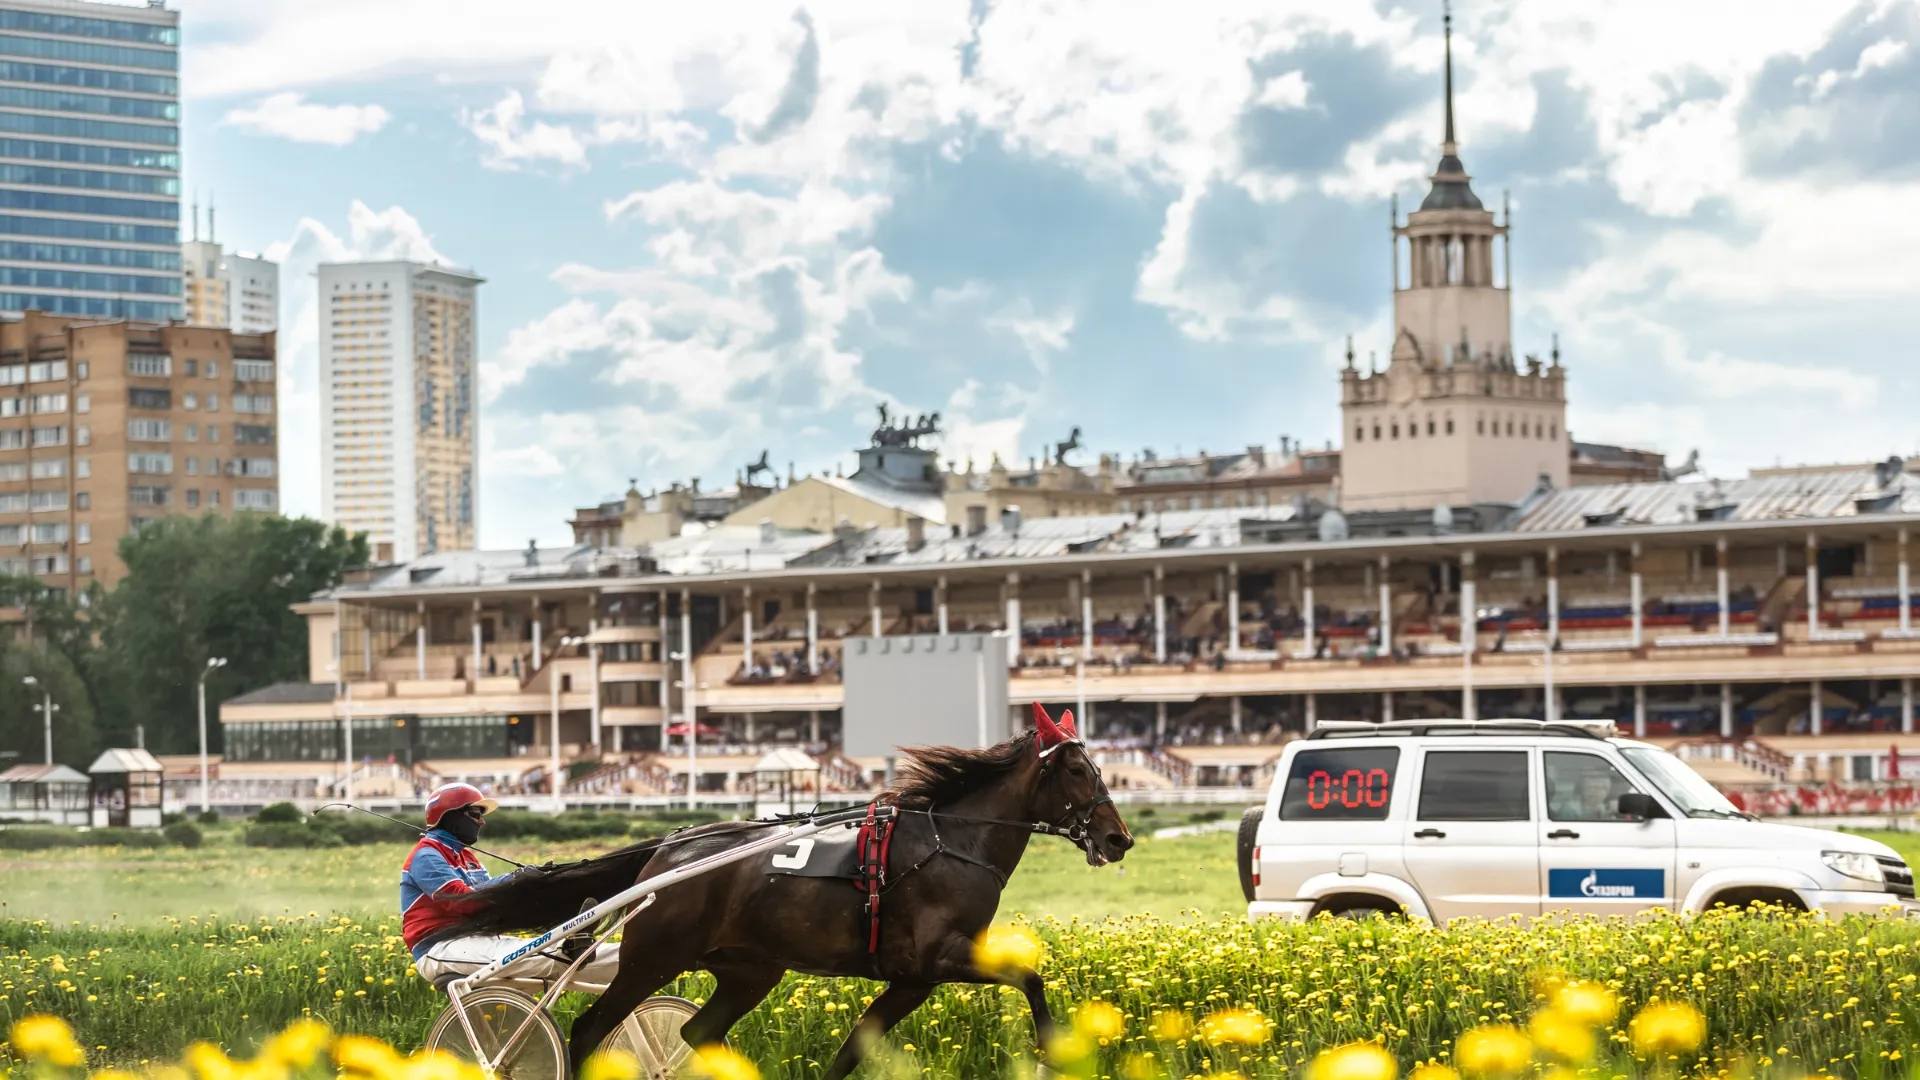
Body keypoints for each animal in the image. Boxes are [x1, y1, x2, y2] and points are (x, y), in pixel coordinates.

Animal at [439, 703, 1121, 1068]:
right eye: (1080, 771)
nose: (1119, 839)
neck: (951, 841)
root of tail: (665, 850)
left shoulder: (912, 979)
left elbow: (853, 1050)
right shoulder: (940, 958)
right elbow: (1029, 978)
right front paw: (1054, 1053)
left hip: (750, 969)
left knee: (697, 1032)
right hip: (652, 958)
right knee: (586, 1031)